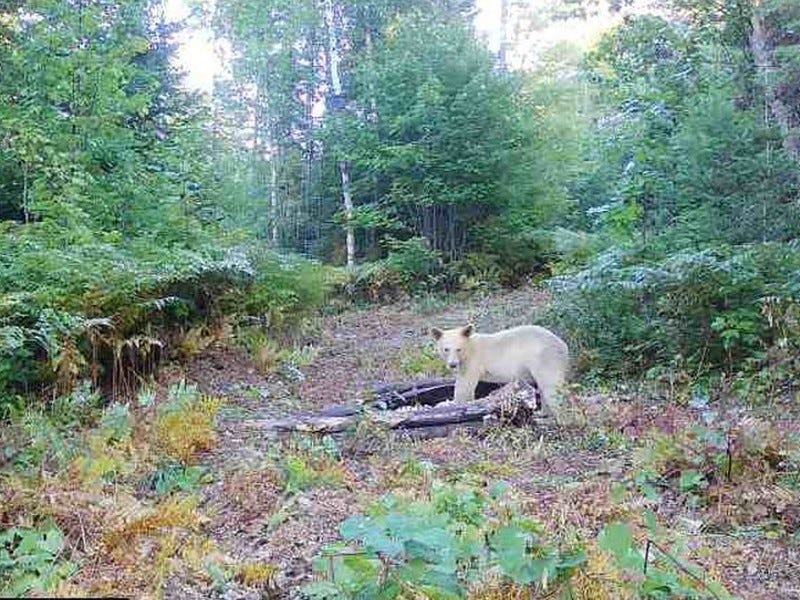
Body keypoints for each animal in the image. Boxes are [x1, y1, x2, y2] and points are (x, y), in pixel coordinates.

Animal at [430, 323, 569, 420]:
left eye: (458, 349)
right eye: (446, 349)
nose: (452, 364)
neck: (469, 348)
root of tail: (563, 346)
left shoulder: (473, 361)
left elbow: (464, 386)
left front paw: (453, 405)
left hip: (545, 358)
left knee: (550, 386)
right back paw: (542, 413)